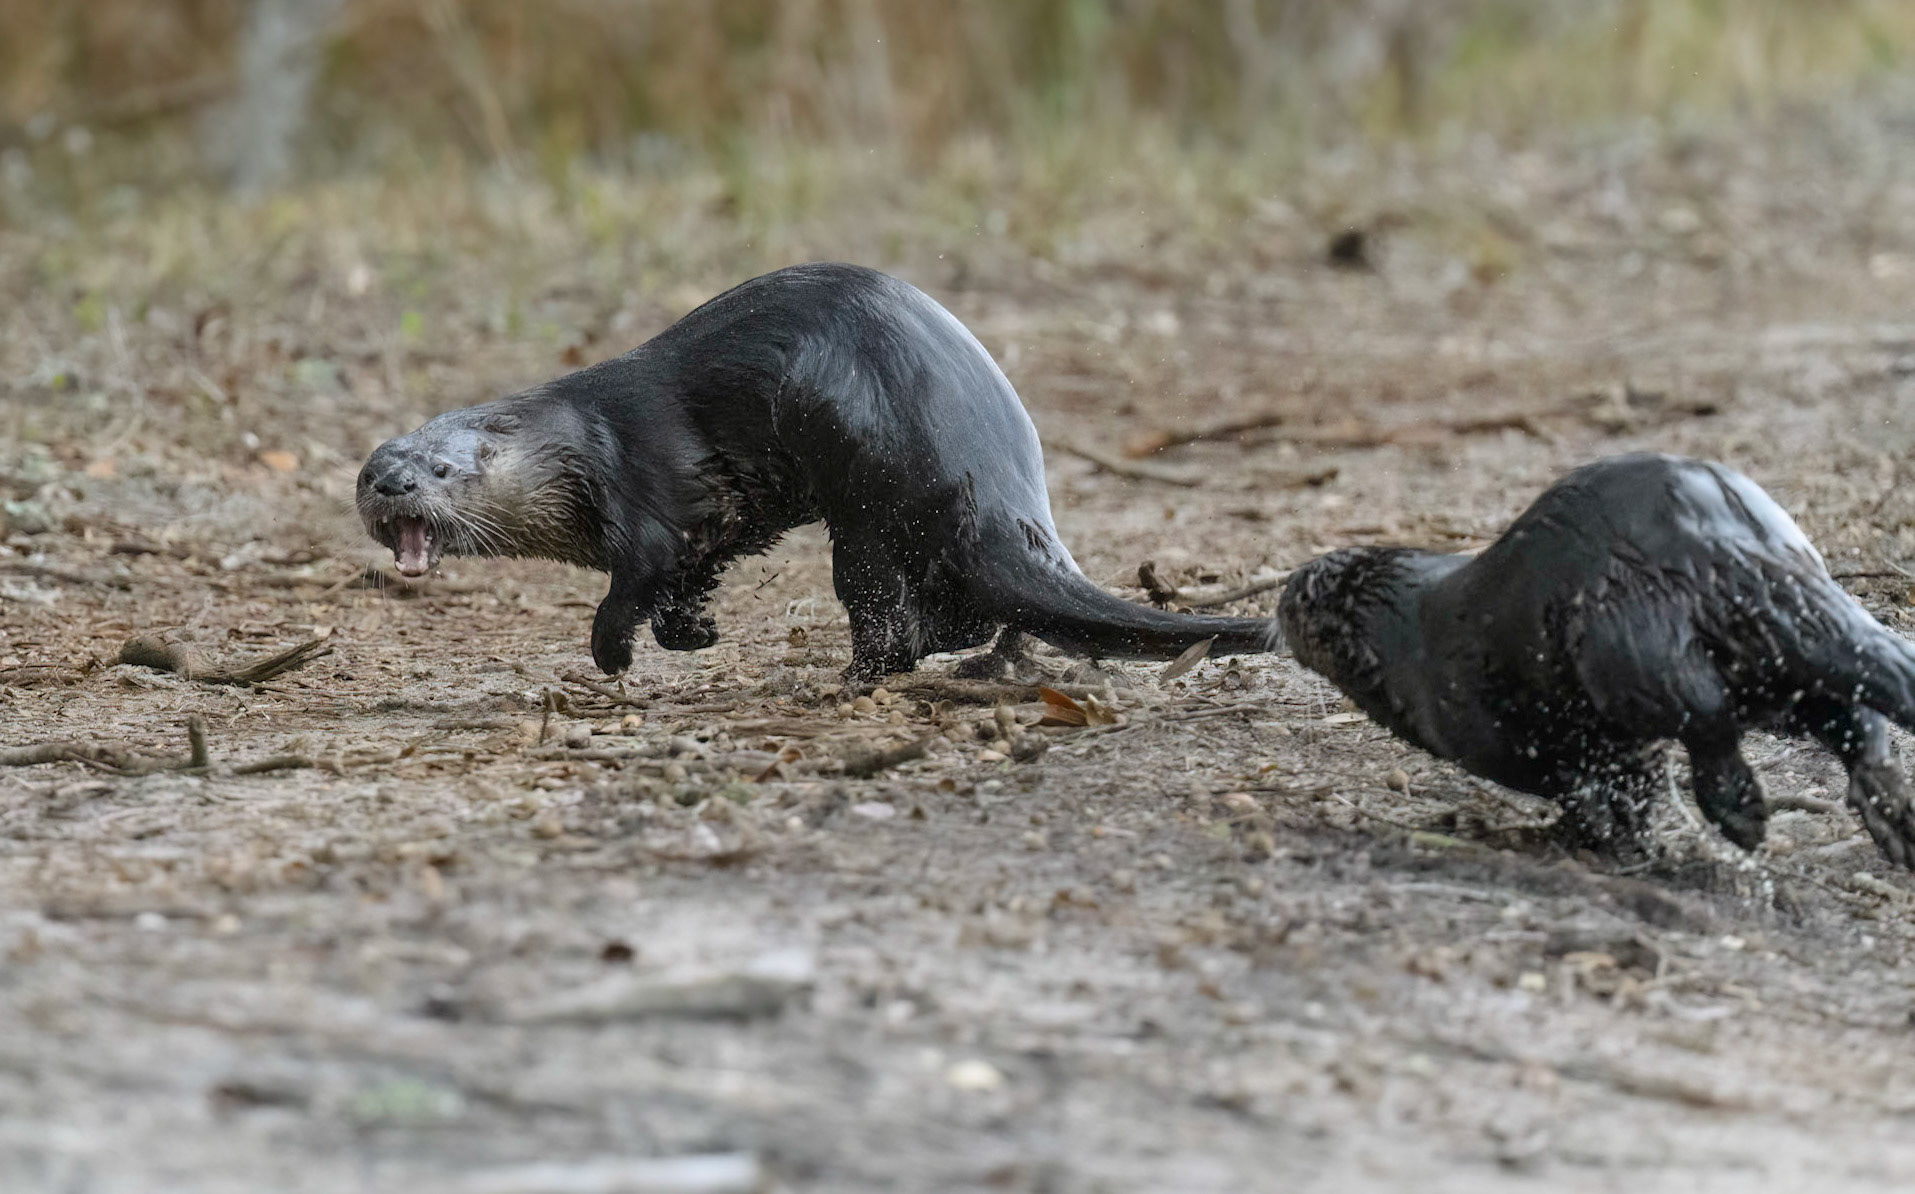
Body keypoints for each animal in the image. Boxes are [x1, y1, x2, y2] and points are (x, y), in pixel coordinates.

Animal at [357, 263, 1272, 680]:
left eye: (440, 468)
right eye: (370, 472)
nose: (390, 484)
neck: (580, 445)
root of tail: (993, 487)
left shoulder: (645, 487)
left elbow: (638, 575)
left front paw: (613, 652)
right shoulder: (714, 521)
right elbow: (692, 572)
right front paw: (696, 632)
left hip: (868, 496)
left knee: (891, 623)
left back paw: (850, 673)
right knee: (961, 619)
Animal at [1278, 453, 1915, 868]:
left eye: (1301, 602)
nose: (1280, 597)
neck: (1413, 639)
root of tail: (1724, 544)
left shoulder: (1503, 728)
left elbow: (1592, 785)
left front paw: (1589, 838)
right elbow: (1634, 781)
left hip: (1625, 644)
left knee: (1704, 714)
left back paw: (1741, 812)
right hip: (1779, 642)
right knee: (1852, 711)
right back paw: (1891, 816)